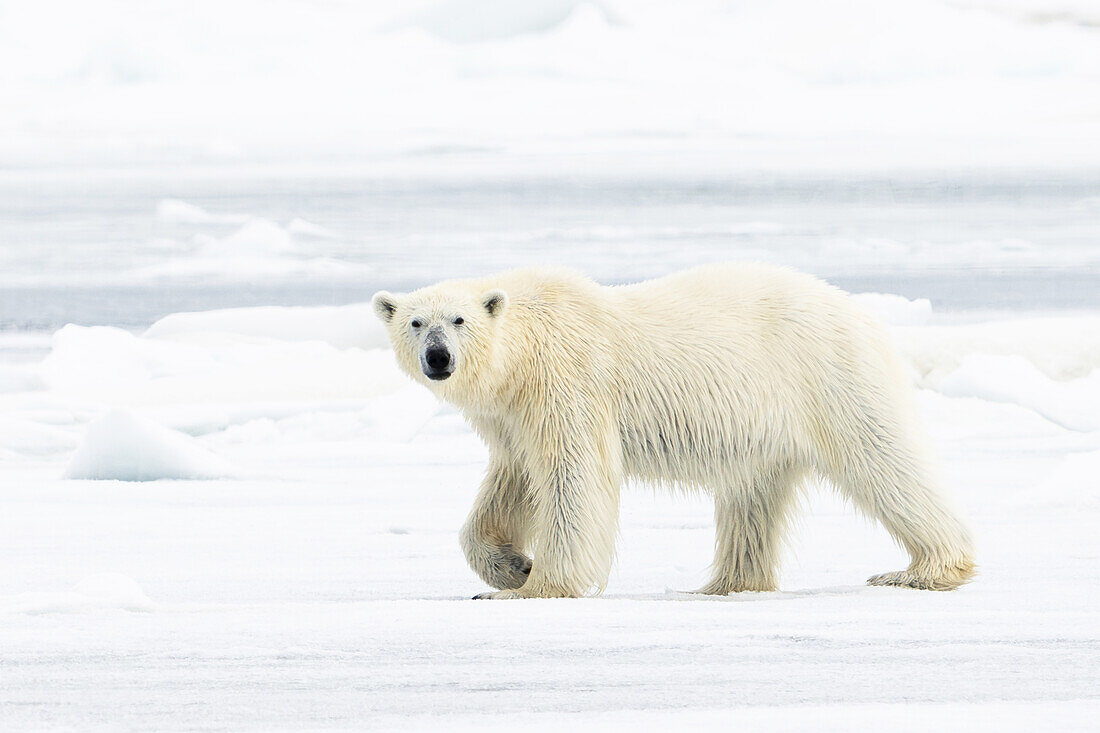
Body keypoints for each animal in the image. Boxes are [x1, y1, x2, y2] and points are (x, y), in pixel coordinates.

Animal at [374, 265, 976, 598]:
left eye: (458, 320)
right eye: (415, 322)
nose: (438, 358)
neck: (523, 353)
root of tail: (860, 312)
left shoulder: (568, 383)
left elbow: (575, 479)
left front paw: (538, 586)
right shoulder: (512, 417)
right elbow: (510, 485)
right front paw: (513, 567)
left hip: (828, 376)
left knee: (883, 459)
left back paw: (925, 570)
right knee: (752, 497)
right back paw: (727, 583)